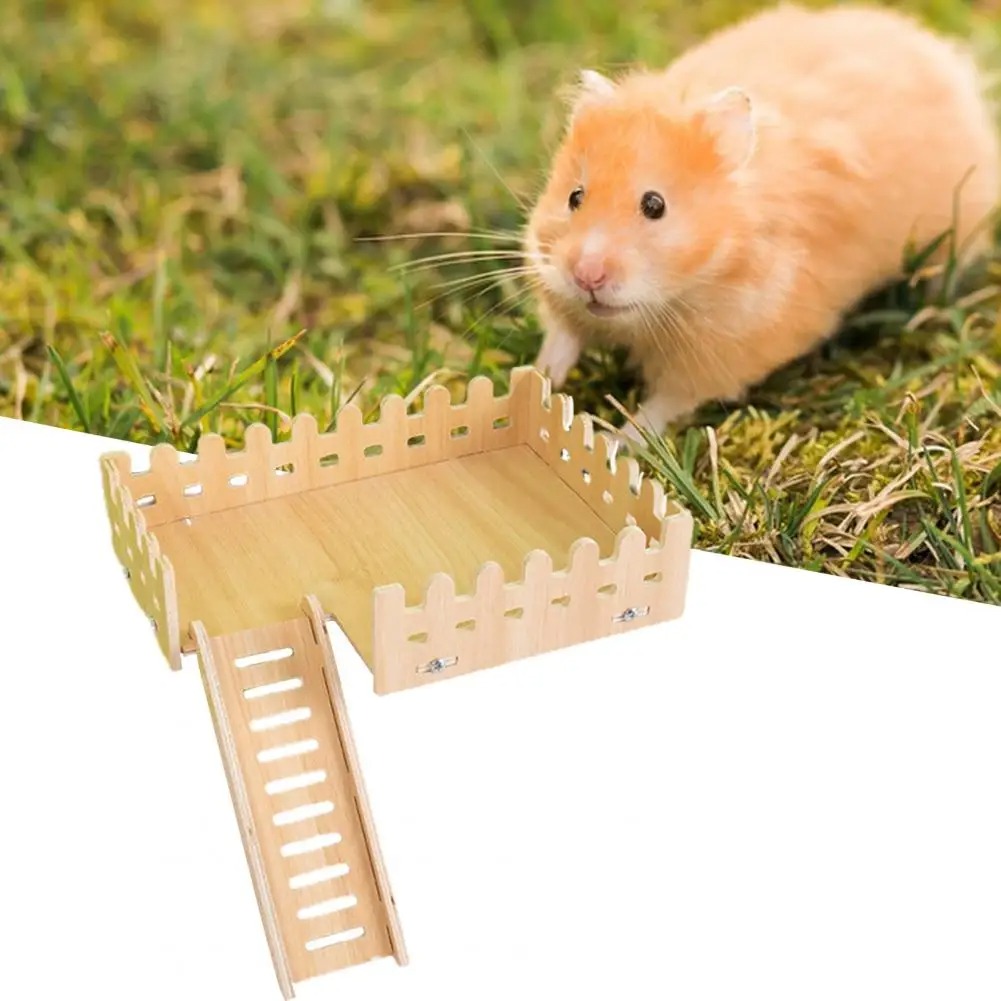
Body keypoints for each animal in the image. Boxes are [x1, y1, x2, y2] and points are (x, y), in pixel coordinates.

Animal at [524, 2, 1001, 439]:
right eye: (574, 197)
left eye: (654, 205)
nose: (587, 276)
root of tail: (940, 55)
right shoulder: (556, 285)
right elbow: (562, 334)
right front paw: (540, 381)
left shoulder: (725, 351)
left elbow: (663, 406)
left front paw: (614, 440)